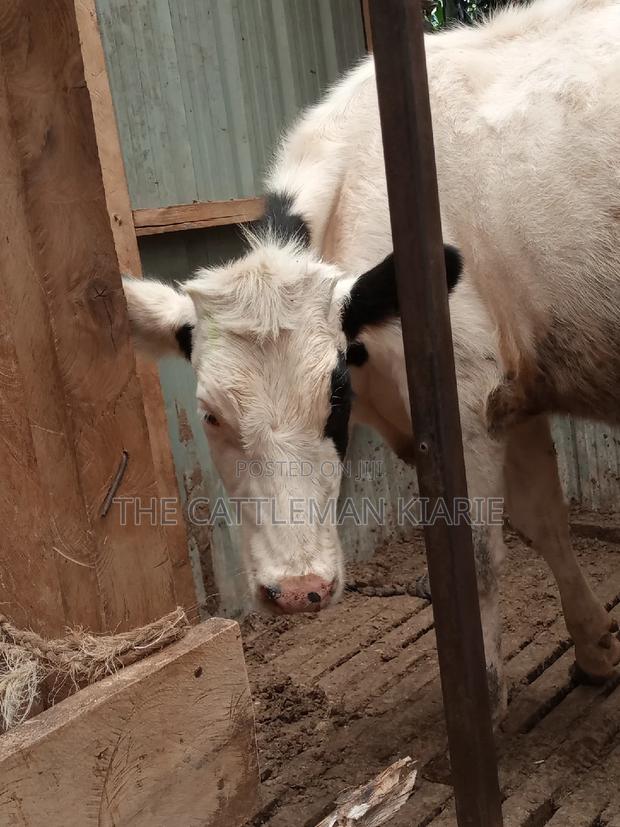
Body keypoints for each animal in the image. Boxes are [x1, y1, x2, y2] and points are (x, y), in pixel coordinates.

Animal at [123, 0, 620, 716]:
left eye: (333, 398)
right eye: (210, 415)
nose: (296, 590)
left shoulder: (466, 394)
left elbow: (474, 554)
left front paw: (482, 700)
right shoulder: (510, 391)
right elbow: (544, 520)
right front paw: (596, 651)